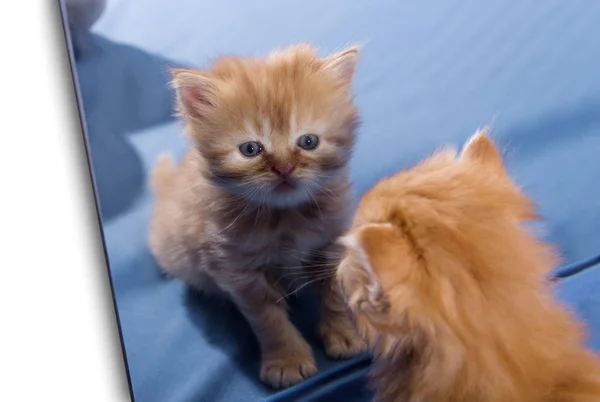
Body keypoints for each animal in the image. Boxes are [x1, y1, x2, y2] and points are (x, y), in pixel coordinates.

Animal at [150, 44, 366, 390]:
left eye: (308, 142)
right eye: (250, 149)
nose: (284, 169)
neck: (285, 218)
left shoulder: (331, 241)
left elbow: (335, 293)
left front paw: (343, 335)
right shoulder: (235, 269)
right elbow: (269, 319)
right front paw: (287, 361)